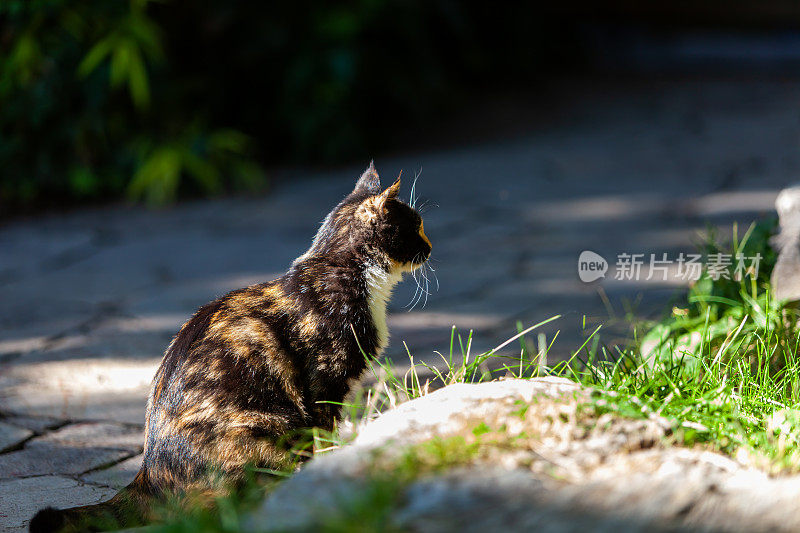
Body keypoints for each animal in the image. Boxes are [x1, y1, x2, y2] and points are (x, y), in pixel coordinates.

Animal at [29, 162, 432, 532]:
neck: (345, 271)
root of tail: (148, 475)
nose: (430, 247)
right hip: (264, 427)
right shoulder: (324, 382)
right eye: (416, 226)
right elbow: (324, 433)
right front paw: (331, 469)